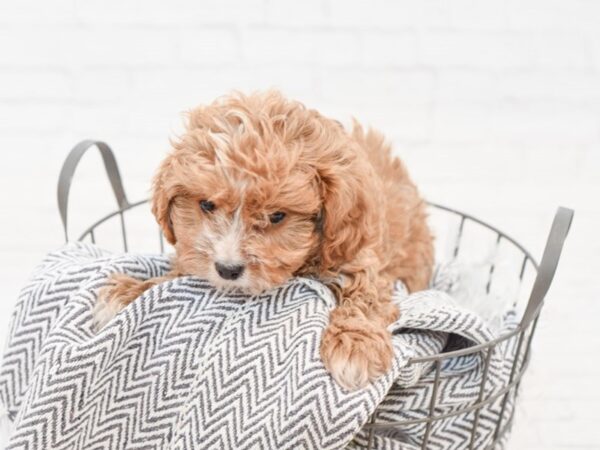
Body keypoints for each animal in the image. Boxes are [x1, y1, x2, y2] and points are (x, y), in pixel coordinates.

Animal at [96, 89, 434, 388]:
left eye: (276, 216)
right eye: (207, 205)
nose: (228, 270)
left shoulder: (359, 259)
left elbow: (366, 299)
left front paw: (355, 346)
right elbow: (178, 272)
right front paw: (130, 290)